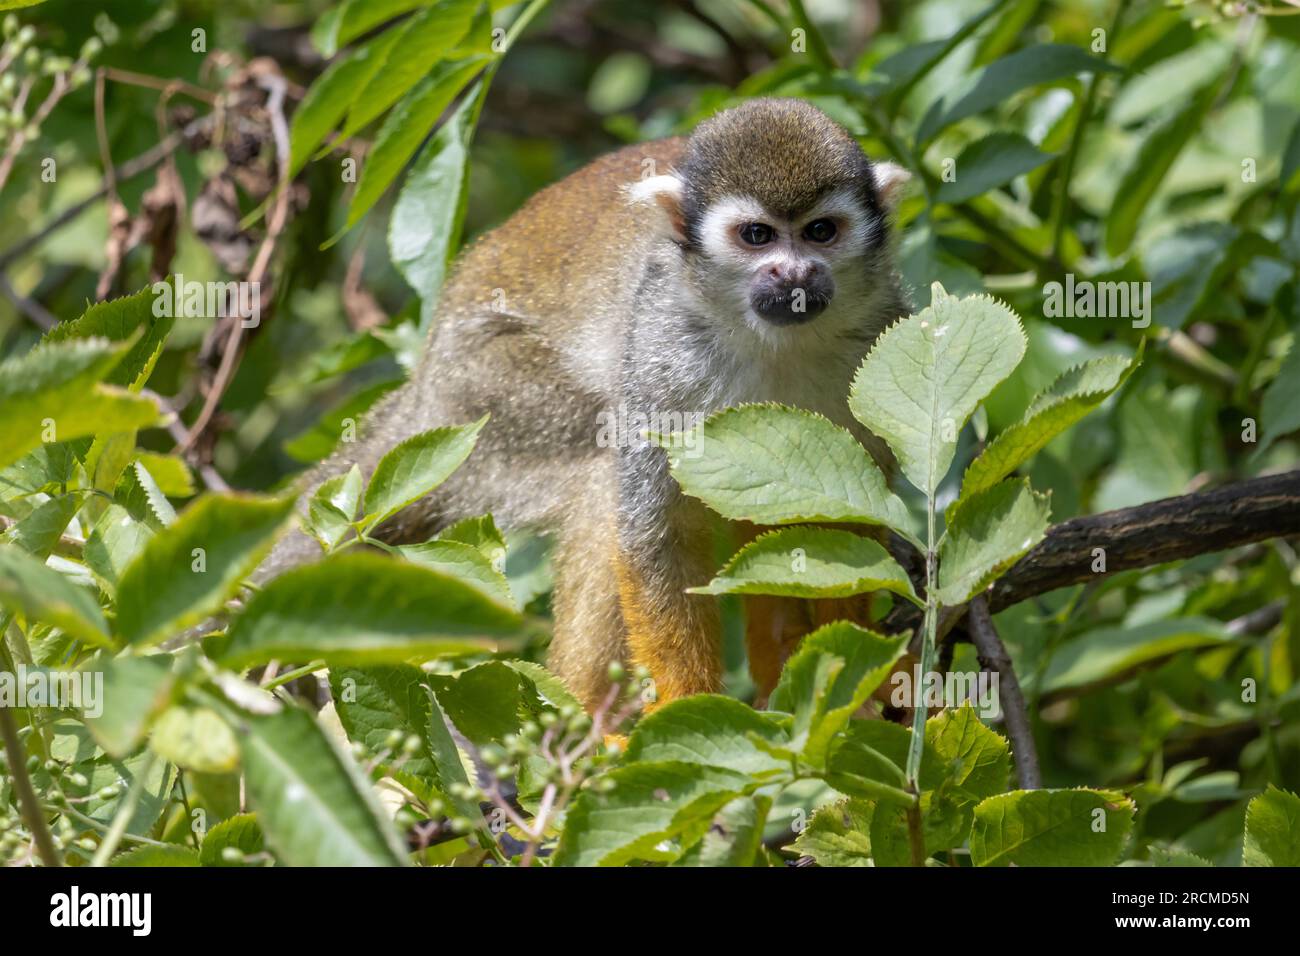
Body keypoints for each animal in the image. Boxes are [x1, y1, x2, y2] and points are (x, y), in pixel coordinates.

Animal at [260, 98, 912, 712]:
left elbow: (840, 514)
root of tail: (425, 387)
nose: (794, 274)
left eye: (821, 232)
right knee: (602, 467)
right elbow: (655, 534)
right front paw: (686, 705)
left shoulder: (882, 332)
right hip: (486, 397)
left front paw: (850, 662)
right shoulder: (661, 348)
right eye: (757, 236)